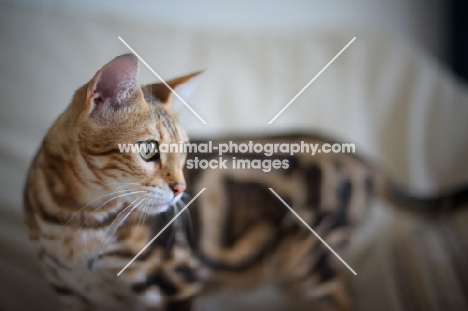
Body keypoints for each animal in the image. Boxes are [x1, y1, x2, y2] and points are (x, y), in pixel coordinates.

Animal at [22, 54, 468, 310]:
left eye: (183, 152)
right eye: (148, 150)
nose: (181, 189)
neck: (76, 223)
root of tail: (360, 157)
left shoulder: (179, 278)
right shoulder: (71, 292)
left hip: (306, 261)